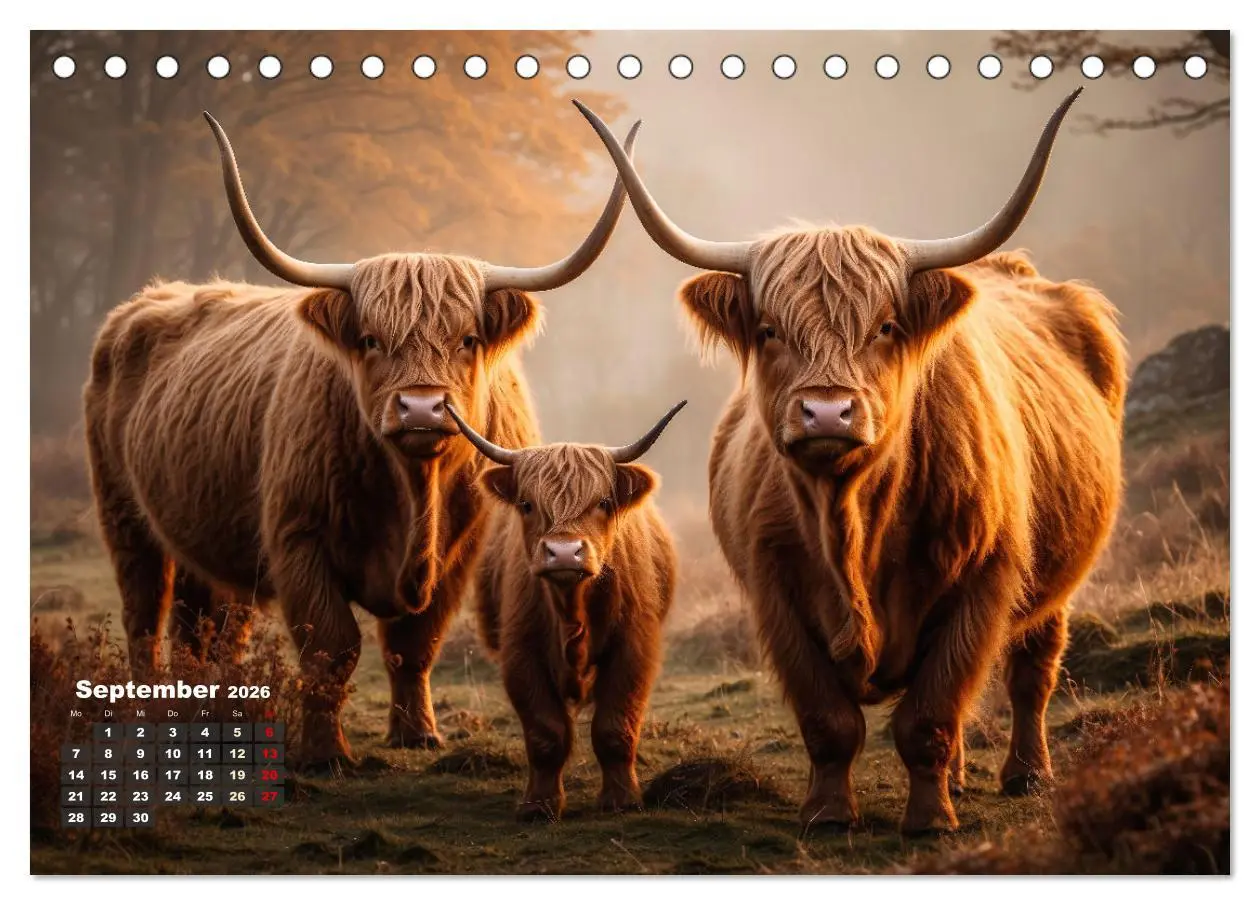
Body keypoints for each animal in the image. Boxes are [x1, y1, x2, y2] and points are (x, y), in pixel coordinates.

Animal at [83, 113, 640, 769]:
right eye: (372, 339)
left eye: (469, 339)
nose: (422, 407)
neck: (412, 492)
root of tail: (145, 301)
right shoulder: (298, 537)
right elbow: (332, 647)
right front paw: (327, 754)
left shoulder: (462, 550)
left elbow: (415, 642)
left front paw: (418, 733)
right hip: (123, 515)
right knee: (144, 611)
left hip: (208, 535)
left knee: (208, 628)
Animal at [446, 401, 683, 821]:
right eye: (527, 505)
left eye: (603, 502)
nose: (564, 552)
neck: (572, 608)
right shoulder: (521, 652)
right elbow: (546, 733)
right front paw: (539, 805)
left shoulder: (634, 648)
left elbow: (614, 727)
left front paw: (622, 800)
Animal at [576, 90, 1127, 834]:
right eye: (770, 330)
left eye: (886, 326)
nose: (828, 413)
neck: (852, 521)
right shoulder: (777, 595)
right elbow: (830, 721)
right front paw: (830, 813)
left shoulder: (984, 582)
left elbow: (929, 715)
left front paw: (930, 820)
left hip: (1057, 583)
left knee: (1032, 668)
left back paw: (1026, 774)